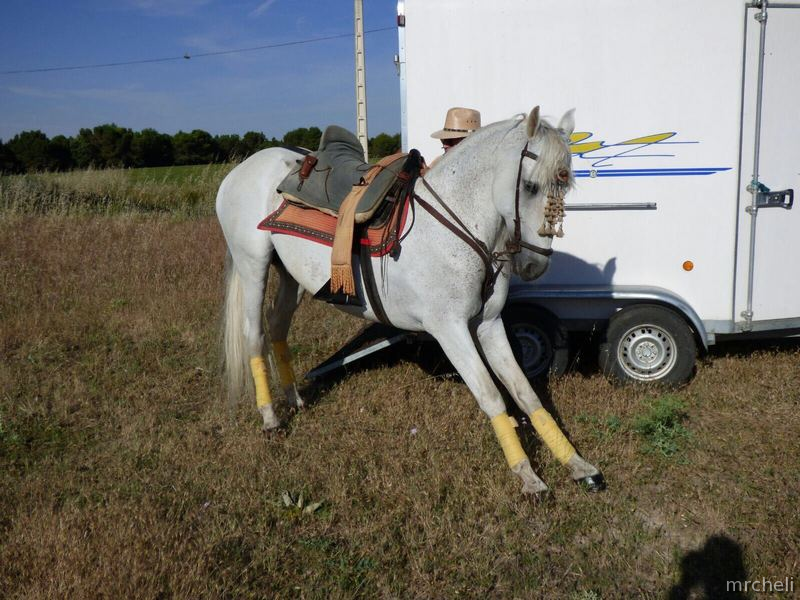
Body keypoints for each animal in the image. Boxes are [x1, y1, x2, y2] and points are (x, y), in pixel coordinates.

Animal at [215, 107, 605, 495]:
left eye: (565, 185)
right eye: (530, 186)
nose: (535, 264)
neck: (457, 226)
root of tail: (241, 170)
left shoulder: (490, 324)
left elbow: (525, 392)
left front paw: (578, 464)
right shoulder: (450, 330)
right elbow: (491, 395)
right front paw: (528, 476)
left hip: (291, 277)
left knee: (278, 327)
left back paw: (294, 399)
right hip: (253, 265)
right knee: (254, 335)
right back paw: (270, 419)